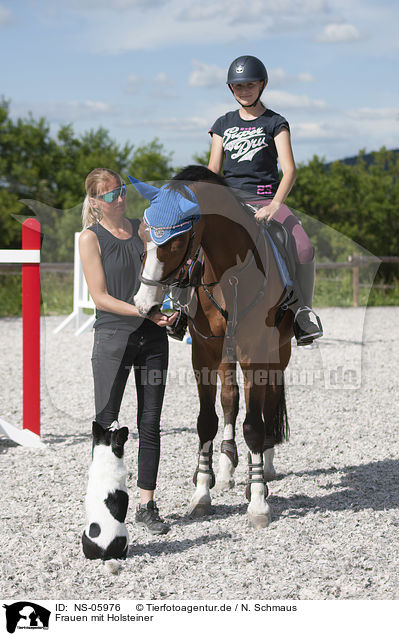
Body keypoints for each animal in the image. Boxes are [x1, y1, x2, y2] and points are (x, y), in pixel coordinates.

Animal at [131, 166, 294, 528]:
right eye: (142, 234)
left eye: (177, 240)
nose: (145, 303)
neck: (229, 275)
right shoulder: (204, 352)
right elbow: (207, 419)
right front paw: (202, 492)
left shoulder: (254, 353)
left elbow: (254, 425)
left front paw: (258, 501)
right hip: (225, 353)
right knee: (230, 400)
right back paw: (227, 464)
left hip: (277, 353)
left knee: (268, 402)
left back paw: (264, 466)